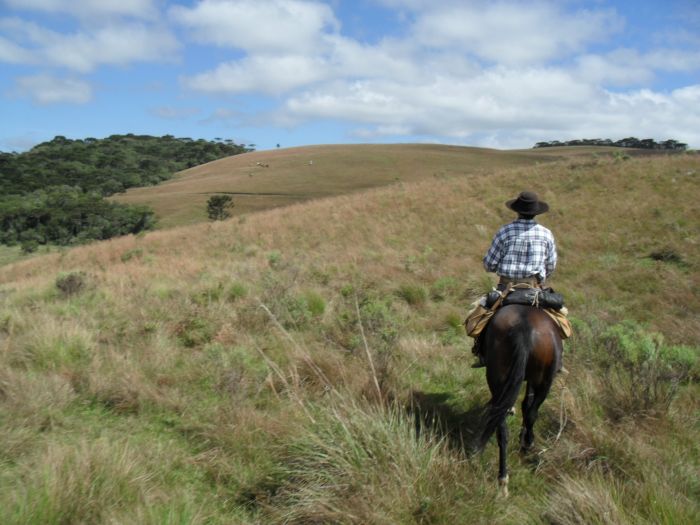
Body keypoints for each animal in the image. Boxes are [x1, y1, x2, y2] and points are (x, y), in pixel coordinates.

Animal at [478, 302, 560, 496]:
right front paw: (525, 440)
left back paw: (503, 479)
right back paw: (525, 448)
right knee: (528, 414)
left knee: (503, 425)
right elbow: (527, 405)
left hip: (500, 378)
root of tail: (523, 328)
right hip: (545, 381)